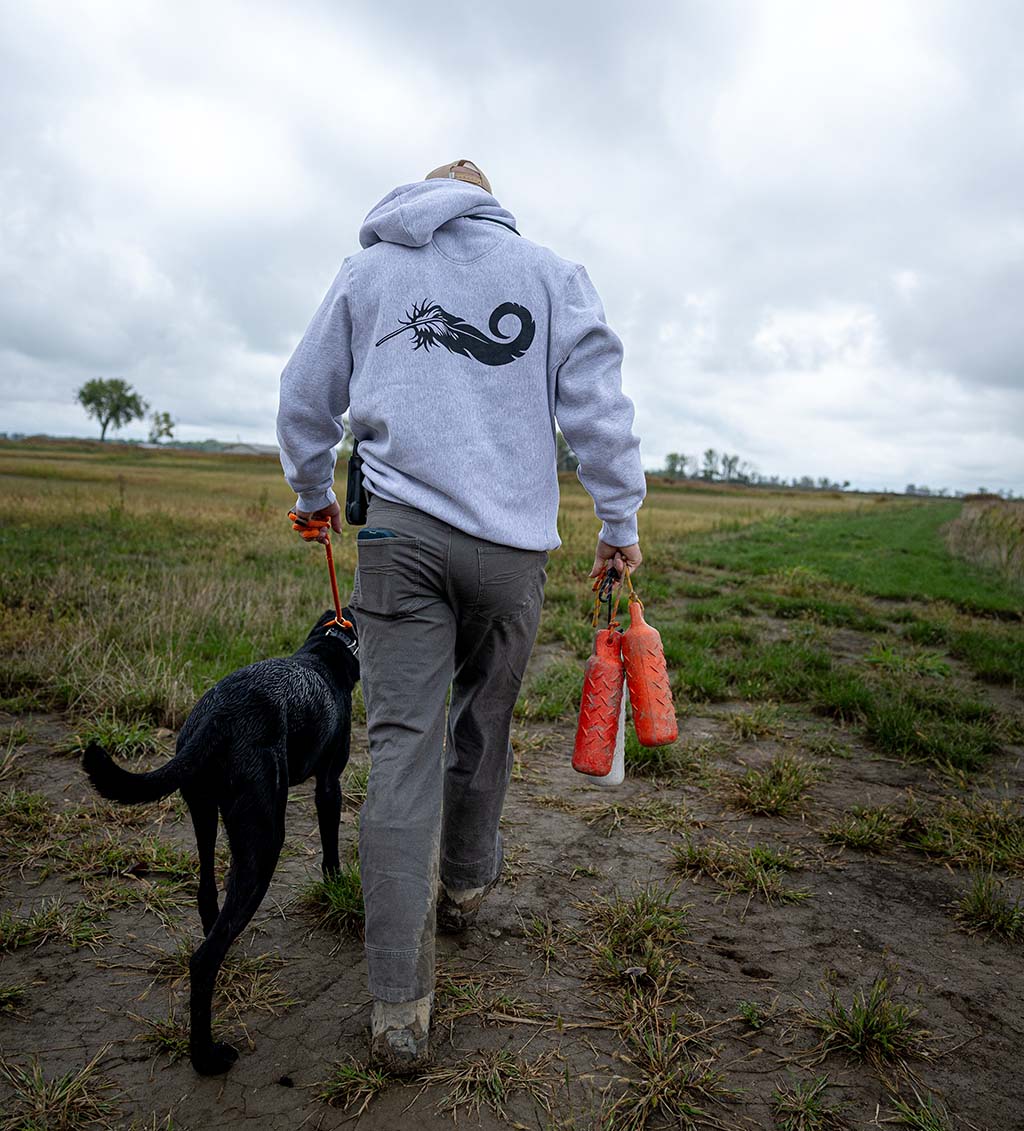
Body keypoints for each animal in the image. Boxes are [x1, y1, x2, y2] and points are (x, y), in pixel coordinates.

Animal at [83, 610, 359, 1076]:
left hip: (204, 813)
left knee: (208, 895)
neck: (324, 649)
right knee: (202, 960)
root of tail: (217, 717)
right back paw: (206, 1057)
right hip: (265, 840)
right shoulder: (329, 784)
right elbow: (330, 847)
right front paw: (336, 883)